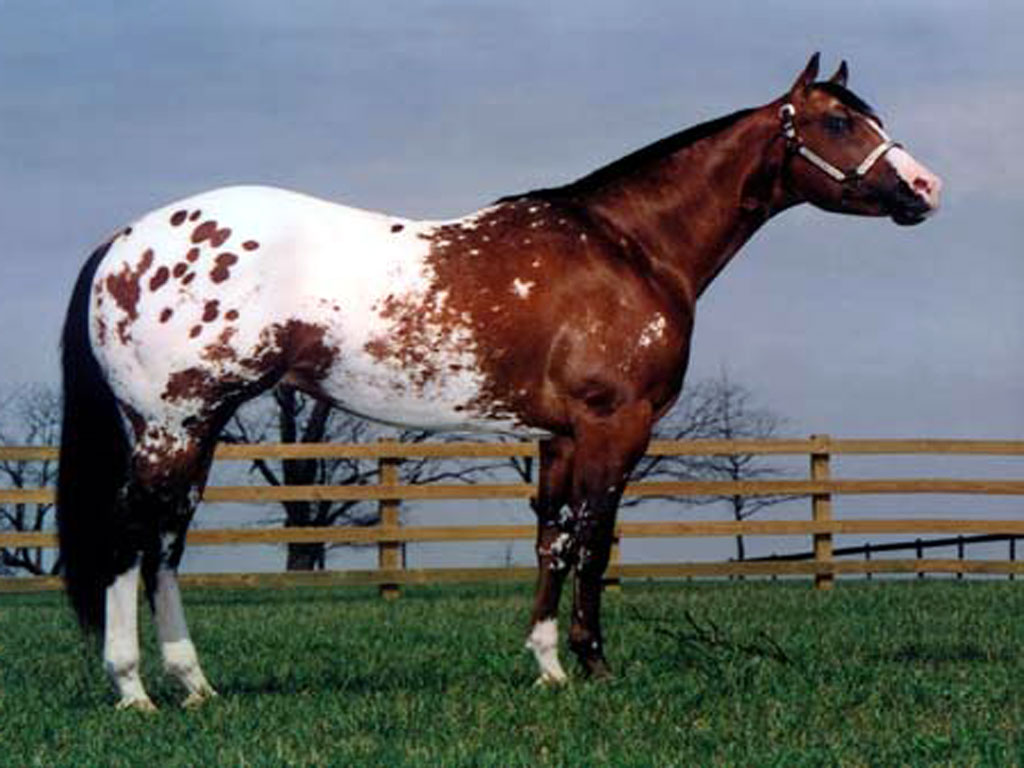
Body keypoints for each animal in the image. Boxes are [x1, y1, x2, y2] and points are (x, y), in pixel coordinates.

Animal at [57, 53, 941, 710]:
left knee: (165, 543)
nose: (926, 188)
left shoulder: (557, 439)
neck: (629, 248)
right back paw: (134, 690)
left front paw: (546, 664)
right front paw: (593, 665)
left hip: (189, 431)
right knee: (129, 540)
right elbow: (595, 542)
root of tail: (125, 239)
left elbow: (554, 540)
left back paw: (193, 683)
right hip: (173, 426)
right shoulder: (616, 427)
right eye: (839, 122)